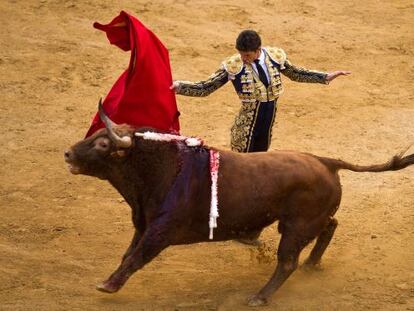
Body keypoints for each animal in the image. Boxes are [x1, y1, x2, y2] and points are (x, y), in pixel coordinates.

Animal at [64, 103, 414, 308]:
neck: (163, 169)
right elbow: (128, 254)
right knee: (330, 226)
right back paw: (313, 263)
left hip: (295, 227)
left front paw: (108, 285)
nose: (67, 154)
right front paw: (109, 280)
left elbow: (137, 257)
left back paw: (259, 296)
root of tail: (326, 161)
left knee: (287, 261)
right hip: (308, 220)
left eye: (103, 143)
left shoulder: (160, 231)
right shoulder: (143, 224)